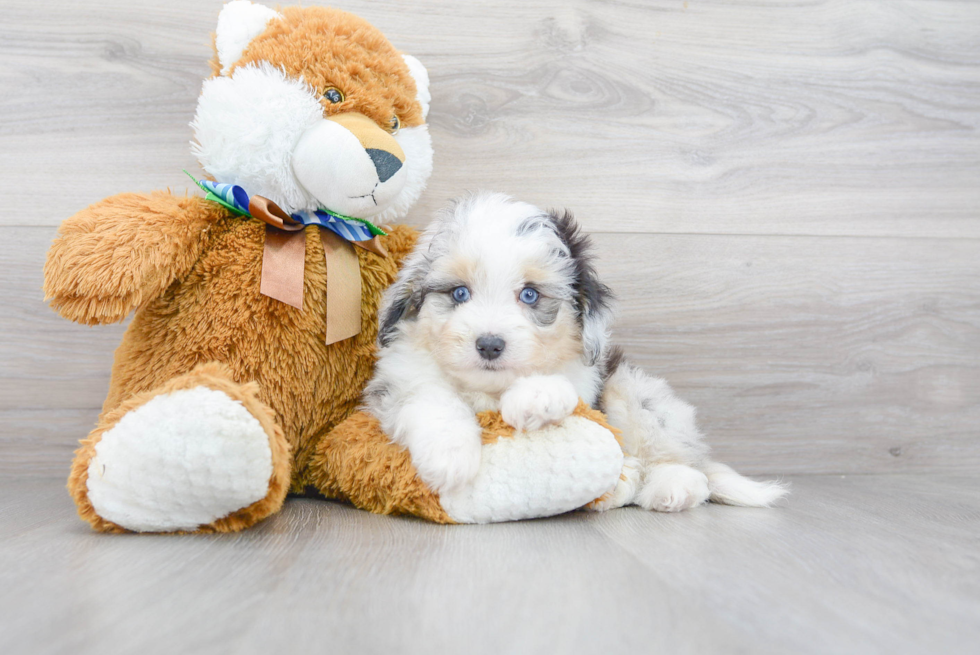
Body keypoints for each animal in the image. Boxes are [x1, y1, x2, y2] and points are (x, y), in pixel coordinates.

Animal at [368, 193, 788, 512]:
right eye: (459, 293)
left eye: (530, 294)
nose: (489, 344)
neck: (489, 391)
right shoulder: (398, 380)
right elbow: (431, 398)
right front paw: (450, 456)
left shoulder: (589, 376)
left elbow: (560, 383)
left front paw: (536, 397)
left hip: (634, 390)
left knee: (684, 464)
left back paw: (670, 487)